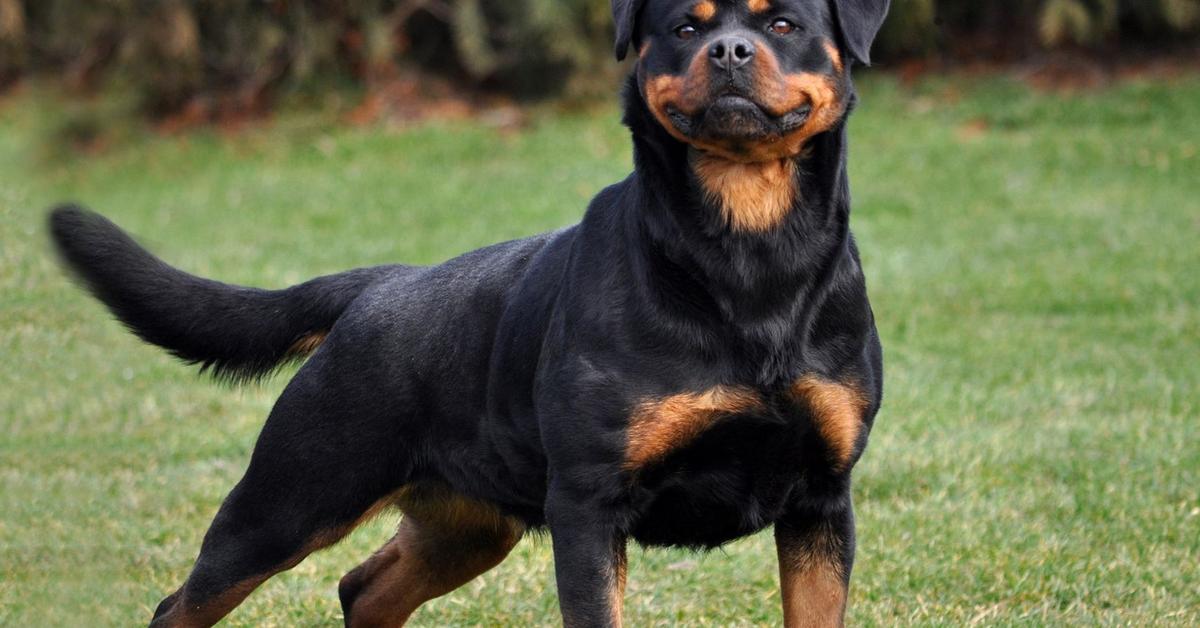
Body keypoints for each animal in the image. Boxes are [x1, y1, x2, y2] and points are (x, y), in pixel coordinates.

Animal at [49, 0, 892, 624]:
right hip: (290, 499)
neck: (747, 251)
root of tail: (380, 286)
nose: (729, 51)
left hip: (466, 523)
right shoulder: (588, 506)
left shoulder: (821, 501)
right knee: (184, 605)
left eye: (782, 23)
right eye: (686, 27)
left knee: (365, 590)